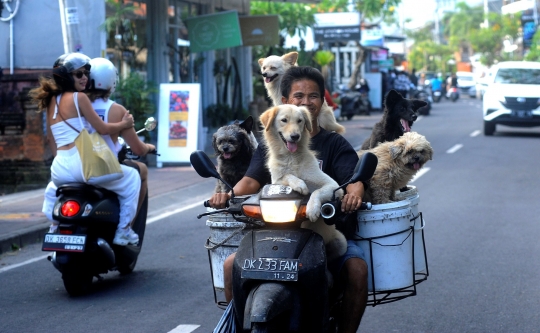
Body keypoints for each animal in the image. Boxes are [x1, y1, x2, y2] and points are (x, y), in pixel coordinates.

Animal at [260, 104, 346, 260]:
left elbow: (317, 191)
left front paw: (312, 209)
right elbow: (288, 176)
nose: (295, 136)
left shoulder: (334, 186)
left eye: (300, 121)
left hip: (340, 243)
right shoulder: (276, 181)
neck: (291, 157)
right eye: (284, 120)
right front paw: (300, 184)